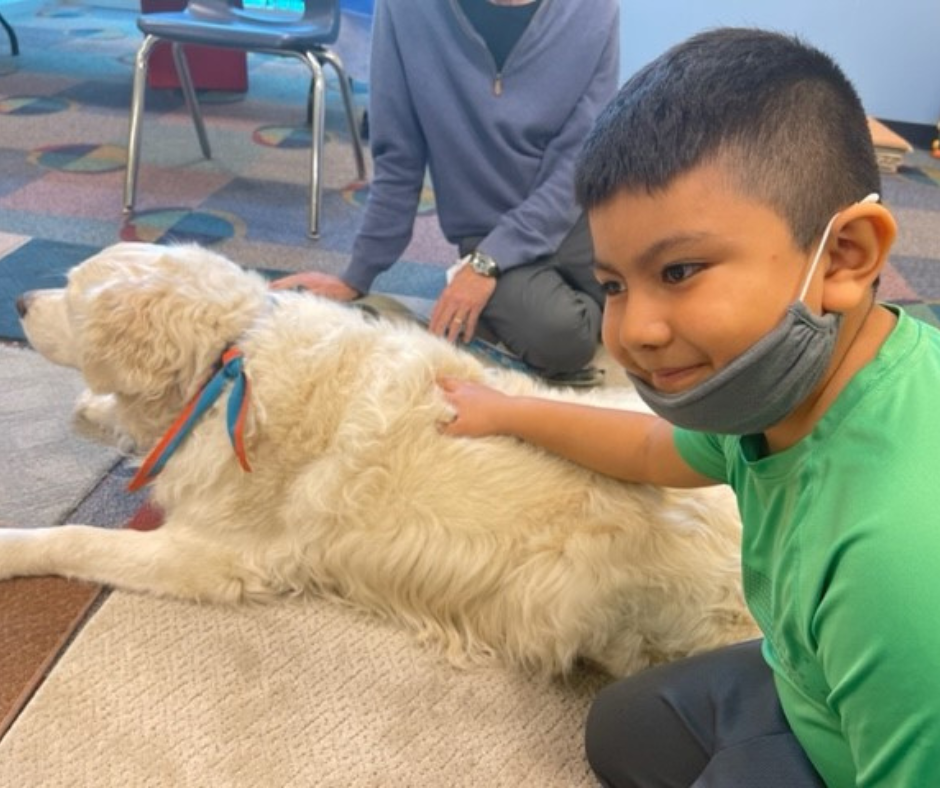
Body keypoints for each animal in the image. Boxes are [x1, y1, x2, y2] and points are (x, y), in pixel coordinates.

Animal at [7, 243, 756, 676]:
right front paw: (94, 412)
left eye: (70, 290)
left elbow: (77, 538)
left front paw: (14, 545)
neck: (229, 358)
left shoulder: (207, 555)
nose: (17, 299)